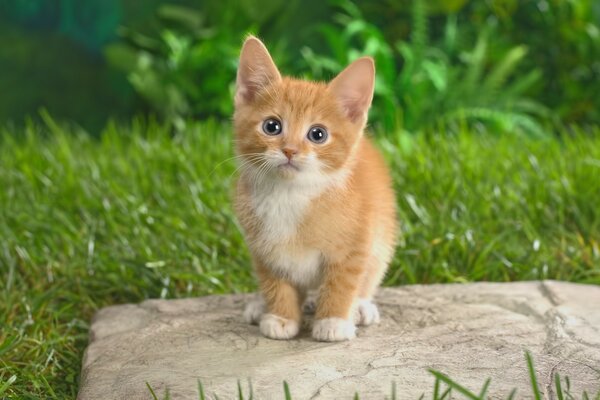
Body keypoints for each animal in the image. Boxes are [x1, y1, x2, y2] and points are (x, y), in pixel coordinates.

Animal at [234, 36, 398, 340]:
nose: (289, 150)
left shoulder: (355, 244)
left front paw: (333, 321)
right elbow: (275, 282)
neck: (290, 194)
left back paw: (360, 307)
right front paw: (281, 317)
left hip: (383, 239)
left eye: (317, 134)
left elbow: (343, 282)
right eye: (272, 126)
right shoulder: (263, 248)